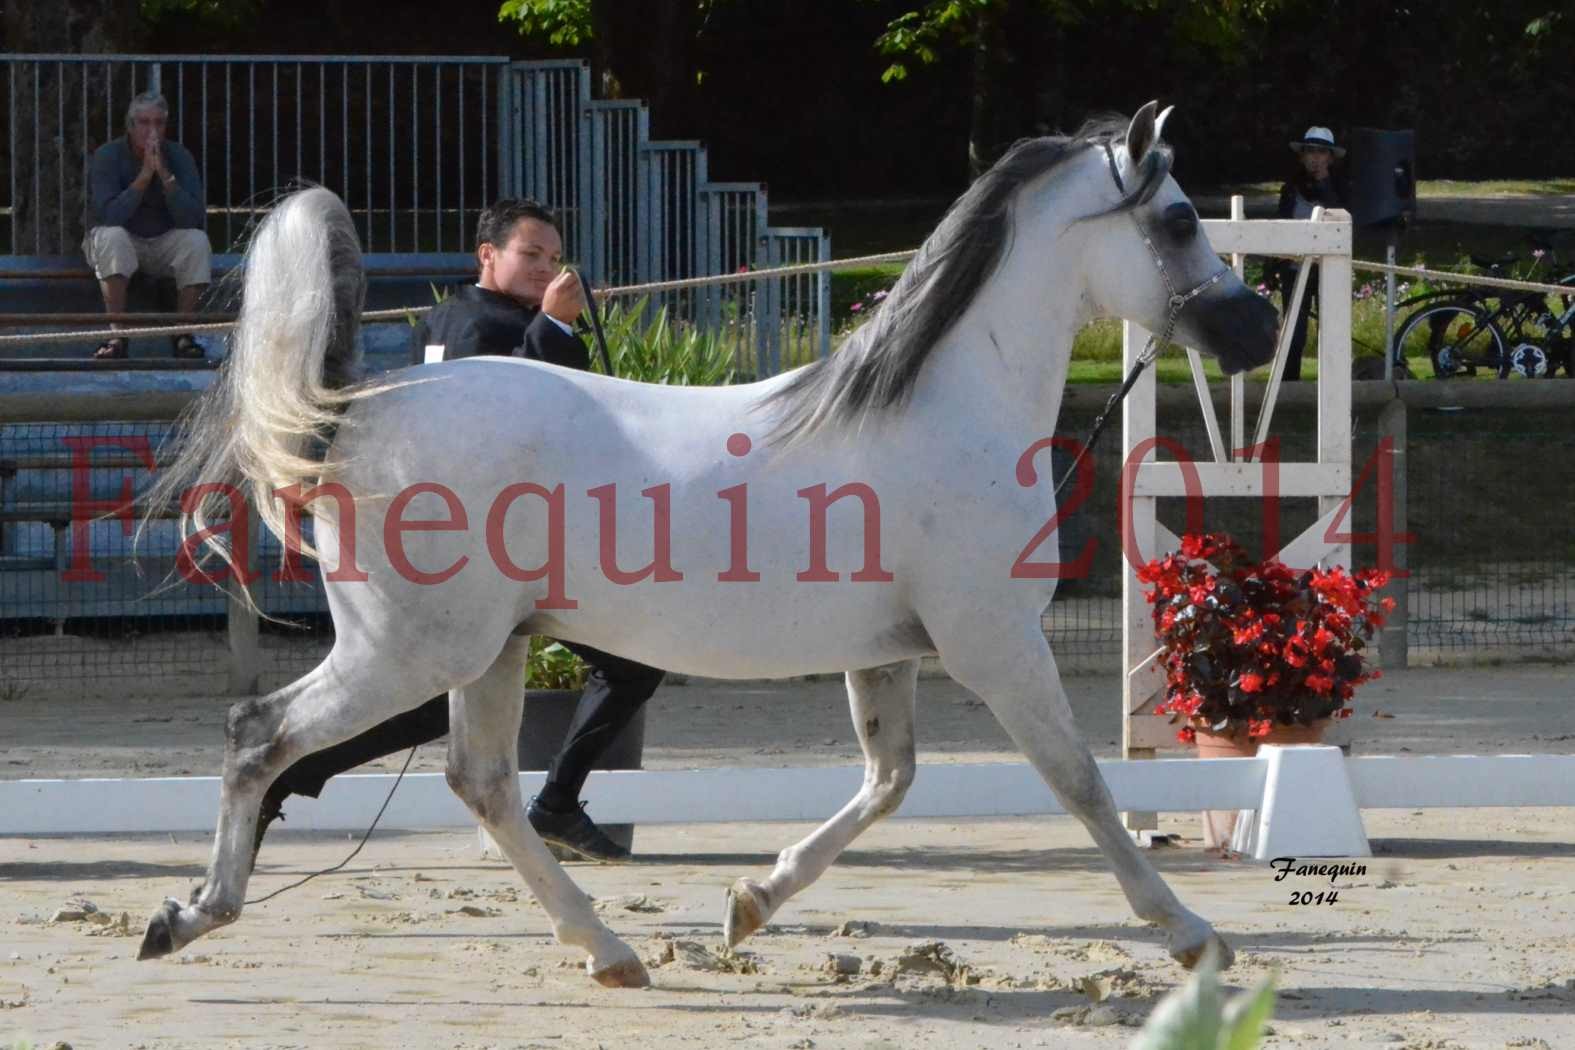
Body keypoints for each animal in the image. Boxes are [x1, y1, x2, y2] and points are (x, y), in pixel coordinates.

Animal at [135, 102, 1278, 988]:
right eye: (1179, 218)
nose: (1261, 330)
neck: (943, 407)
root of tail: (351, 411)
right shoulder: (994, 644)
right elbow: (1081, 784)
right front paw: (1192, 936)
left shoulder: (889, 654)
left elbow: (890, 782)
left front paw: (749, 902)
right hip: (408, 652)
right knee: (261, 733)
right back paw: (190, 914)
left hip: (486, 651)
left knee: (482, 782)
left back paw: (607, 951)